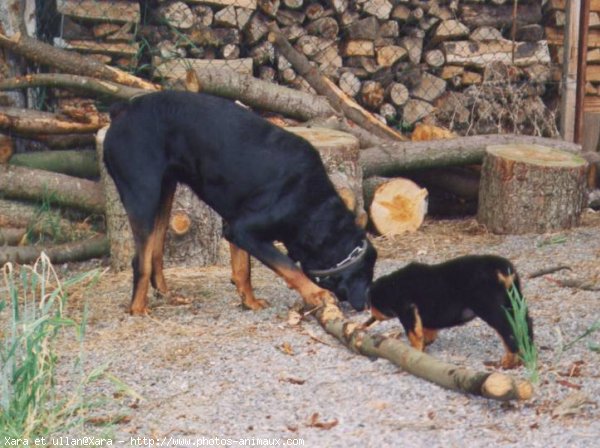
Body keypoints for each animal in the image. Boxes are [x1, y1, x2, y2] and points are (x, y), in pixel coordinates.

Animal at [102, 90, 376, 316]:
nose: (365, 305)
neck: (312, 206)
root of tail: (123, 109)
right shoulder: (244, 230)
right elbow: (288, 266)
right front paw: (316, 294)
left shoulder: (234, 225)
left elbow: (243, 268)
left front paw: (250, 302)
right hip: (143, 195)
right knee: (140, 261)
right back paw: (138, 309)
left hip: (165, 192)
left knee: (156, 252)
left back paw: (168, 296)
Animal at [368, 254, 532, 370]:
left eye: (371, 303)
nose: (372, 314)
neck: (393, 286)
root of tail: (502, 268)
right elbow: (426, 328)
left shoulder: (407, 310)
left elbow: (414, 334)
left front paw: (415, 351)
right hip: (514, 302)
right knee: (525, 325)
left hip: (491, 308)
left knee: (509, 332)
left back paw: (509, 360)